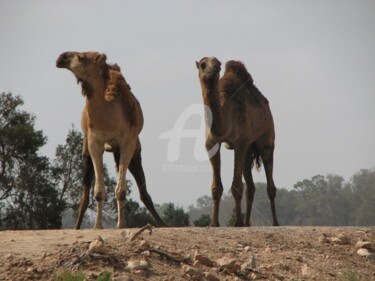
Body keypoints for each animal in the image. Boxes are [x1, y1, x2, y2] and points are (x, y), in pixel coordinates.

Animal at [56, 51, 165, 229]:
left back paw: (161, 223)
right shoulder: (94, 143)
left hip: (132, 149)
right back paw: (77, 227)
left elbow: (121, 191)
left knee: (143, 192)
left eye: (82, 57)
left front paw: (121, 225)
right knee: (84, 195)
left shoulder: (128, 142)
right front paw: (97, 226)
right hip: (86, 147)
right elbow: (98, 191)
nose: (61, 58)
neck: (111, 118)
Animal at [197, 56, 280, 225]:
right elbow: (216, 188)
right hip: (249, 149)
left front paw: (237, 224)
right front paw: (214, 224)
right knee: (251, 186)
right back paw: (248, 223)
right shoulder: (211, 143)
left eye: (218, 63)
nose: (215, 67)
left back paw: (275, 223)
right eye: (203, 64)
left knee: (270, 183)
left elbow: (236, 187)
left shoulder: (240, 143)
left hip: (267, 137)